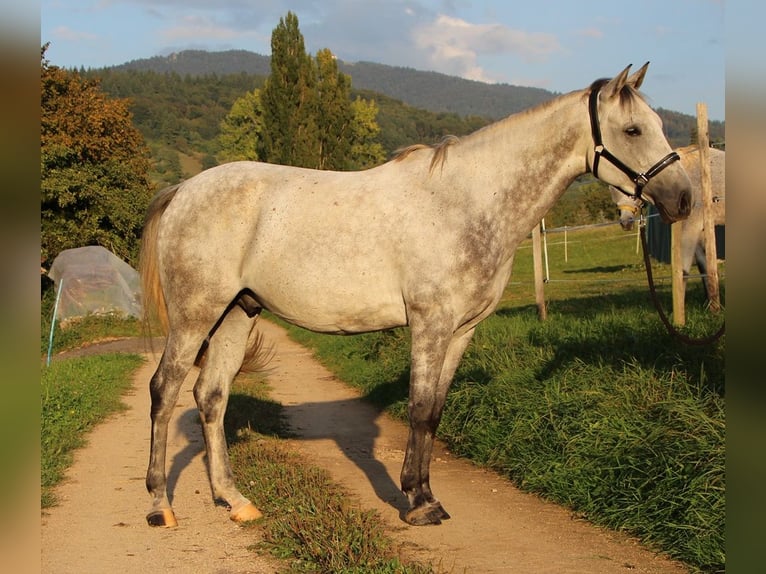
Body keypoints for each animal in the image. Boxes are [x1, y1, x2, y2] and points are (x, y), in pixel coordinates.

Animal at [141, 64, 692, 532]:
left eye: (657, 124)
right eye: (633, 130)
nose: (683, 198)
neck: (468, 201)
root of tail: (183, 190)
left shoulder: (461, 330)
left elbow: (435, 412)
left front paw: (425, 496)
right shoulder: (431, 323)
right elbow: (420, 407)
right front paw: (416, 504)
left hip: (237, 313)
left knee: (211, 397)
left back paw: (234, 500)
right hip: (195, 316)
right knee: (164, 391)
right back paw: (160, 506)